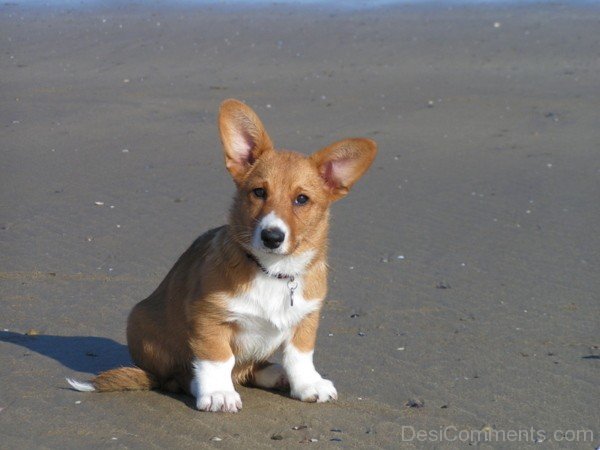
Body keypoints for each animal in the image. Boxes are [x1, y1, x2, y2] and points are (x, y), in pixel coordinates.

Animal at [68, 98, 378, 412]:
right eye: (258, 192)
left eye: (302, 199)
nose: (272, 237)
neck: (272, 271)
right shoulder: (209, 318)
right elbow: (218, 359)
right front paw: (218, 393)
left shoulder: (306, 318)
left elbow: (300, 356)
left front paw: (308, 384)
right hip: (143, 325)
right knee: (178, 378)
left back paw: (274, 373)